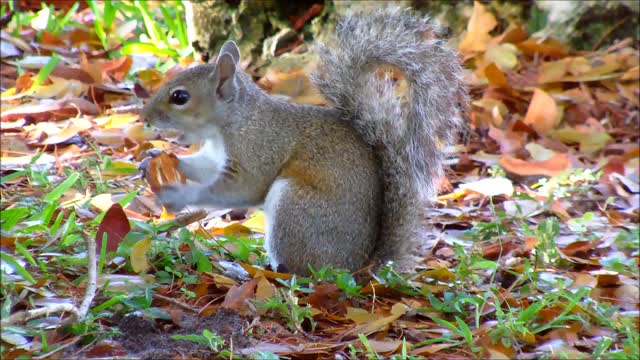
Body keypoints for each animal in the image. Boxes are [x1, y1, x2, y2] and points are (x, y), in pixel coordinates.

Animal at [140, 7, 468, 276]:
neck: (232, 122)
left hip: (295, 207)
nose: (145, 115)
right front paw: (155, 159)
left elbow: (239, 189)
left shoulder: (258, 148)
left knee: (299, 270)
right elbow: (204, 167)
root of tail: (357, 268)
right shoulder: (218, 155)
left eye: (180, 97)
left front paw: (180, 195)